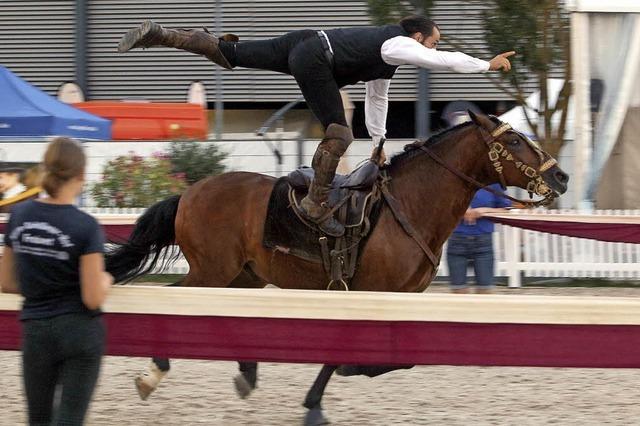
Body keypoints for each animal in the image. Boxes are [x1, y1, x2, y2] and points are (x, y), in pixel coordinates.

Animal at [106, 111, 568, 424]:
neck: (409, 205)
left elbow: (401, 359)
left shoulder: (401, 300)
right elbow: (346, 353)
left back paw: (245, 373)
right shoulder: (363, 294)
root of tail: (189, 193)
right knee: (176, 302)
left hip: (244, 277)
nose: (561, 177)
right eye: (515, 142)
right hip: (213, 272)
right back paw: (154, 373)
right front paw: (317, 402)